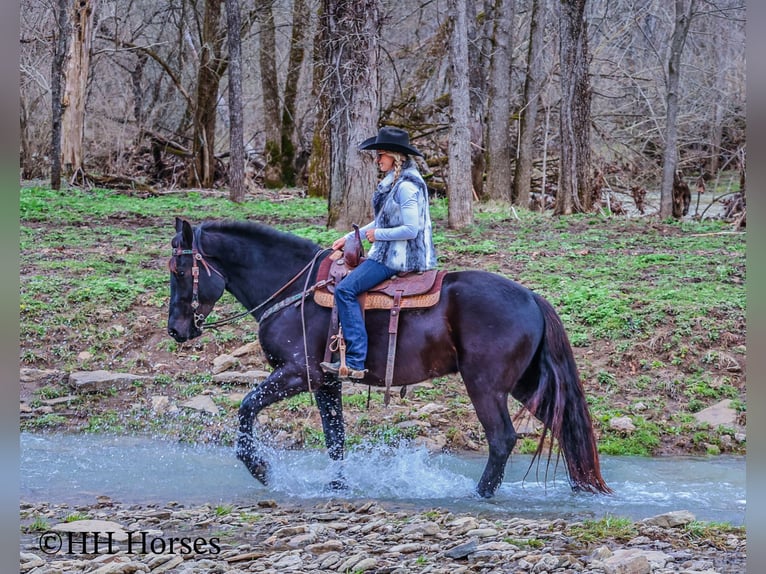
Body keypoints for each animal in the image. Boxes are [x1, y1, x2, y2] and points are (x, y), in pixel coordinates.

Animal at [167, 216, 611, 498]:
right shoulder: (327, 381)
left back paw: (479, 494)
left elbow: (245, 409)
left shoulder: (299, 373)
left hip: (485, 385)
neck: (294, 290)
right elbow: (335, 439)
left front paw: (260, 469)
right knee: (565, 427)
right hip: (525, 384)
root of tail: (532, 297)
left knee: (502, 438)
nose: (176, 329)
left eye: (180, 269)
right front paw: (338, 488)